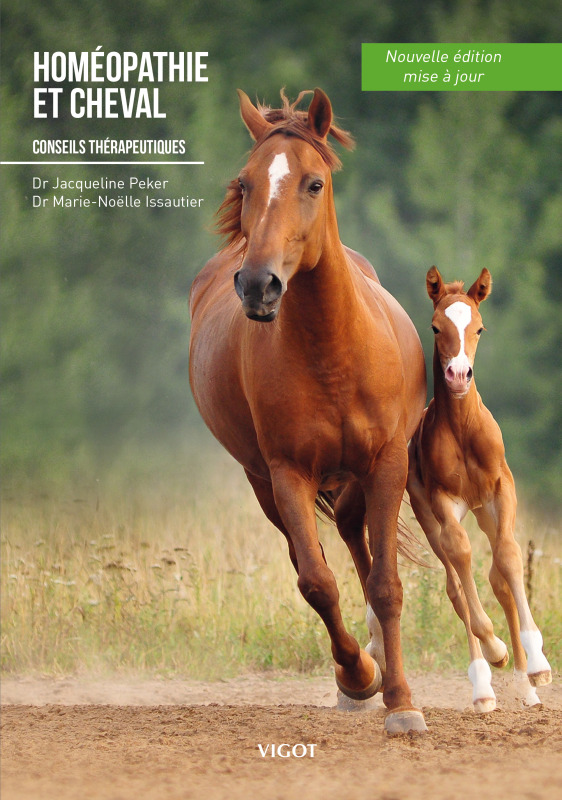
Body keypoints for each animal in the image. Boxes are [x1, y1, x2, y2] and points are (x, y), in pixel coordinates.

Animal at [189, 88, 427, 733]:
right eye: (245, 183)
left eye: (314, 183)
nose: (258, 285)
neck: (332, 351)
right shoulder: (288, 474)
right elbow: (317, 582)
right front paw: (359, 678)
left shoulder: (386, 463)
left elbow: (387, 584)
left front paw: (401, 702)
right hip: (263, 484)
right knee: (317, 555)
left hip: (357, 476)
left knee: (356, 540)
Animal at [407, 266, 552, 713]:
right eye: (436, 327)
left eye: (480, 328)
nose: (458, 375)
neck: (463, 430)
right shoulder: (443, 502)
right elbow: (461, 558)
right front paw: (495, 651)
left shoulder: (501, 489)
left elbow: (508, 559)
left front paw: (538, 665)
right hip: (428, 515)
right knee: (456, 585)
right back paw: (484, 688)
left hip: (484, 511)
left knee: (497, 577)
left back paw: (525, 686)